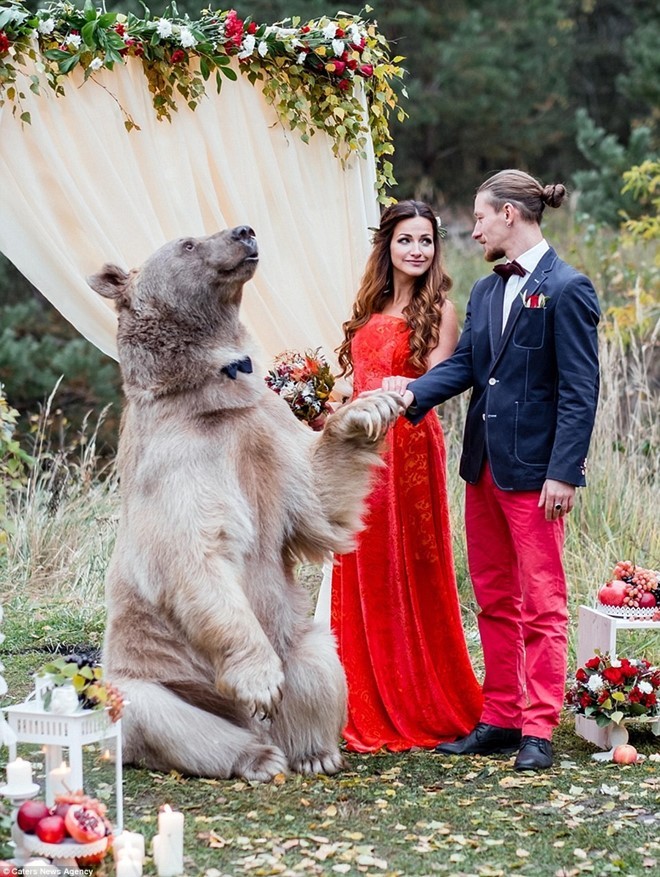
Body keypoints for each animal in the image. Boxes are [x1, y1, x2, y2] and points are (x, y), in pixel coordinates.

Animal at [89, 226, 402, 780]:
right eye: (188, 243)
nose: (244, 231)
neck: (210, 398)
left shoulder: (263, 429)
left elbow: (315, 497)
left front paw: (369, 409)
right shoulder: (179, 459)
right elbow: (194, 554)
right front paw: (260, 681)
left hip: (297, 637)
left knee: (319, 661)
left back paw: (315, 752)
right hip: (155, 678)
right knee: (164, 715)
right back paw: (256, 754)